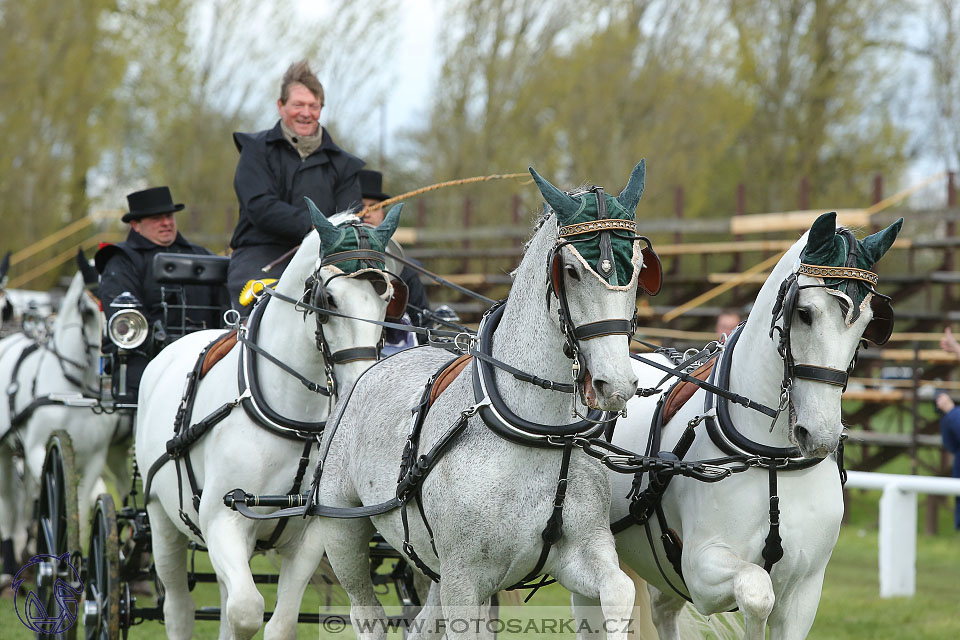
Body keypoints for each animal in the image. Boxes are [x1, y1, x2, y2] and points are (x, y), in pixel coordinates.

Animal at [133, 206, 404, 640]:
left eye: (388, 299)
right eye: (328, 298)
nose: (361, 385)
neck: (295, 422)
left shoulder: (311, 532)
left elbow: (278, 622)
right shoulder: (222, 520)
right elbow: (246, 611)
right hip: (162, 521)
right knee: (178, 607)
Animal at [312, 162, 656, 636]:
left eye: (639, 268)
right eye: (570, 270)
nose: (616, 384)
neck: (537, 433)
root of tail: (368, 371)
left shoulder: (582, 551)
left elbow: (620, 593)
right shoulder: (465, 579)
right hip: (342, 532)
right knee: (367, 614)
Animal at [572, 212, 904, 636]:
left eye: (866, 326)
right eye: (805, 313)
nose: (820, 434)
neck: (774, 459)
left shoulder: (805, 593)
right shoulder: (701, 570)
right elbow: (757, 591)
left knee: (663, 611)